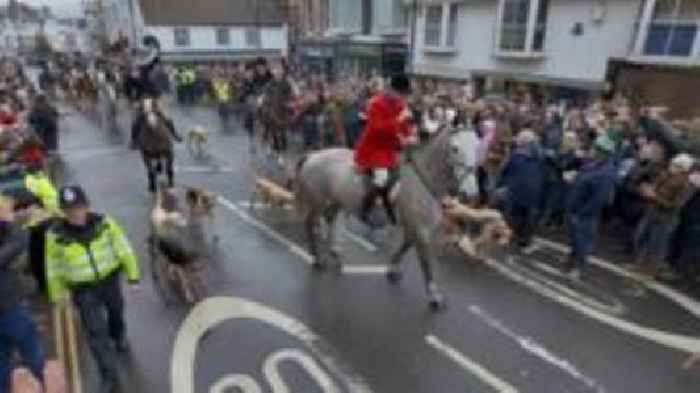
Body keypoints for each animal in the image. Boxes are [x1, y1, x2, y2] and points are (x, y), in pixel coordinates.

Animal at [296, 125, 482, 310]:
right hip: (318, 202)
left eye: (477, 147)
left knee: (332, 219)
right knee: (310, 224)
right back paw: (318, 258)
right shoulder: (421, 230)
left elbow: (405, 246)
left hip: (336, 201)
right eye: (455, 148)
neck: (422, 180)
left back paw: (335, 251)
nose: (470, 193)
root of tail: (313, 155)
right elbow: (426, 263)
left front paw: (393, 269)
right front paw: (434, 296)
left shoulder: (413, 227)